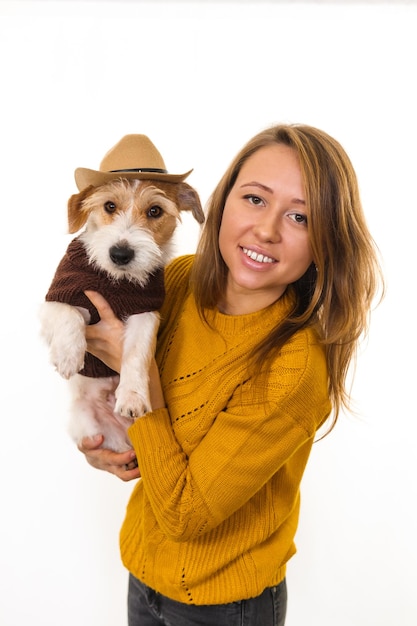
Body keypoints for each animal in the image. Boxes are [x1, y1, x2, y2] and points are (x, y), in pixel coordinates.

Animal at [38, 134, 204, 450]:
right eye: (110, 206)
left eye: (155, 211)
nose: (120, 254)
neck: (116, 280)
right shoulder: (58, 298)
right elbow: (68, 315)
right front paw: (68, 355)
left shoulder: (145, 313)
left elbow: (137, 353)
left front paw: (133, 396)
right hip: (89, 428)